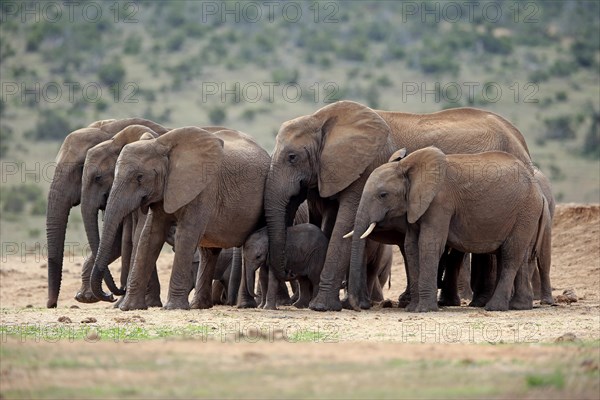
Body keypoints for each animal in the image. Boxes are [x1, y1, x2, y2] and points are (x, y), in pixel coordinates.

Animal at [45, 117, 168, 308]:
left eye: (97, 177)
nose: (52, 305)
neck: (114, 133)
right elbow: (118, 242)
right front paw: (86, 298)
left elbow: (135, 236)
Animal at [91, 127, 270, 310]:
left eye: (139, 177)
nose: (111, 295)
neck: (161, 144)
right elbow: (149, 237)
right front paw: (130, 307)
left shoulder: (203, 188)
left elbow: (186, 235)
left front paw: (173, 307)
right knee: (209, 252)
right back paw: (199, 306)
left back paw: (244, 306)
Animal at [352, 147, 548, 312]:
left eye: (383, 195)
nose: (360, 307)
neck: (408, 167)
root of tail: (539, 191)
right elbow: (411, 246)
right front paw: (412, 309)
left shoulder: (440, 202)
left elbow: (429, 244)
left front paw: (424, 310)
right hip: (523, 214)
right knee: (517, 255)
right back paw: (519, 306)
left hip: (525, 211)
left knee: (510, 256)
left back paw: (495, 308)